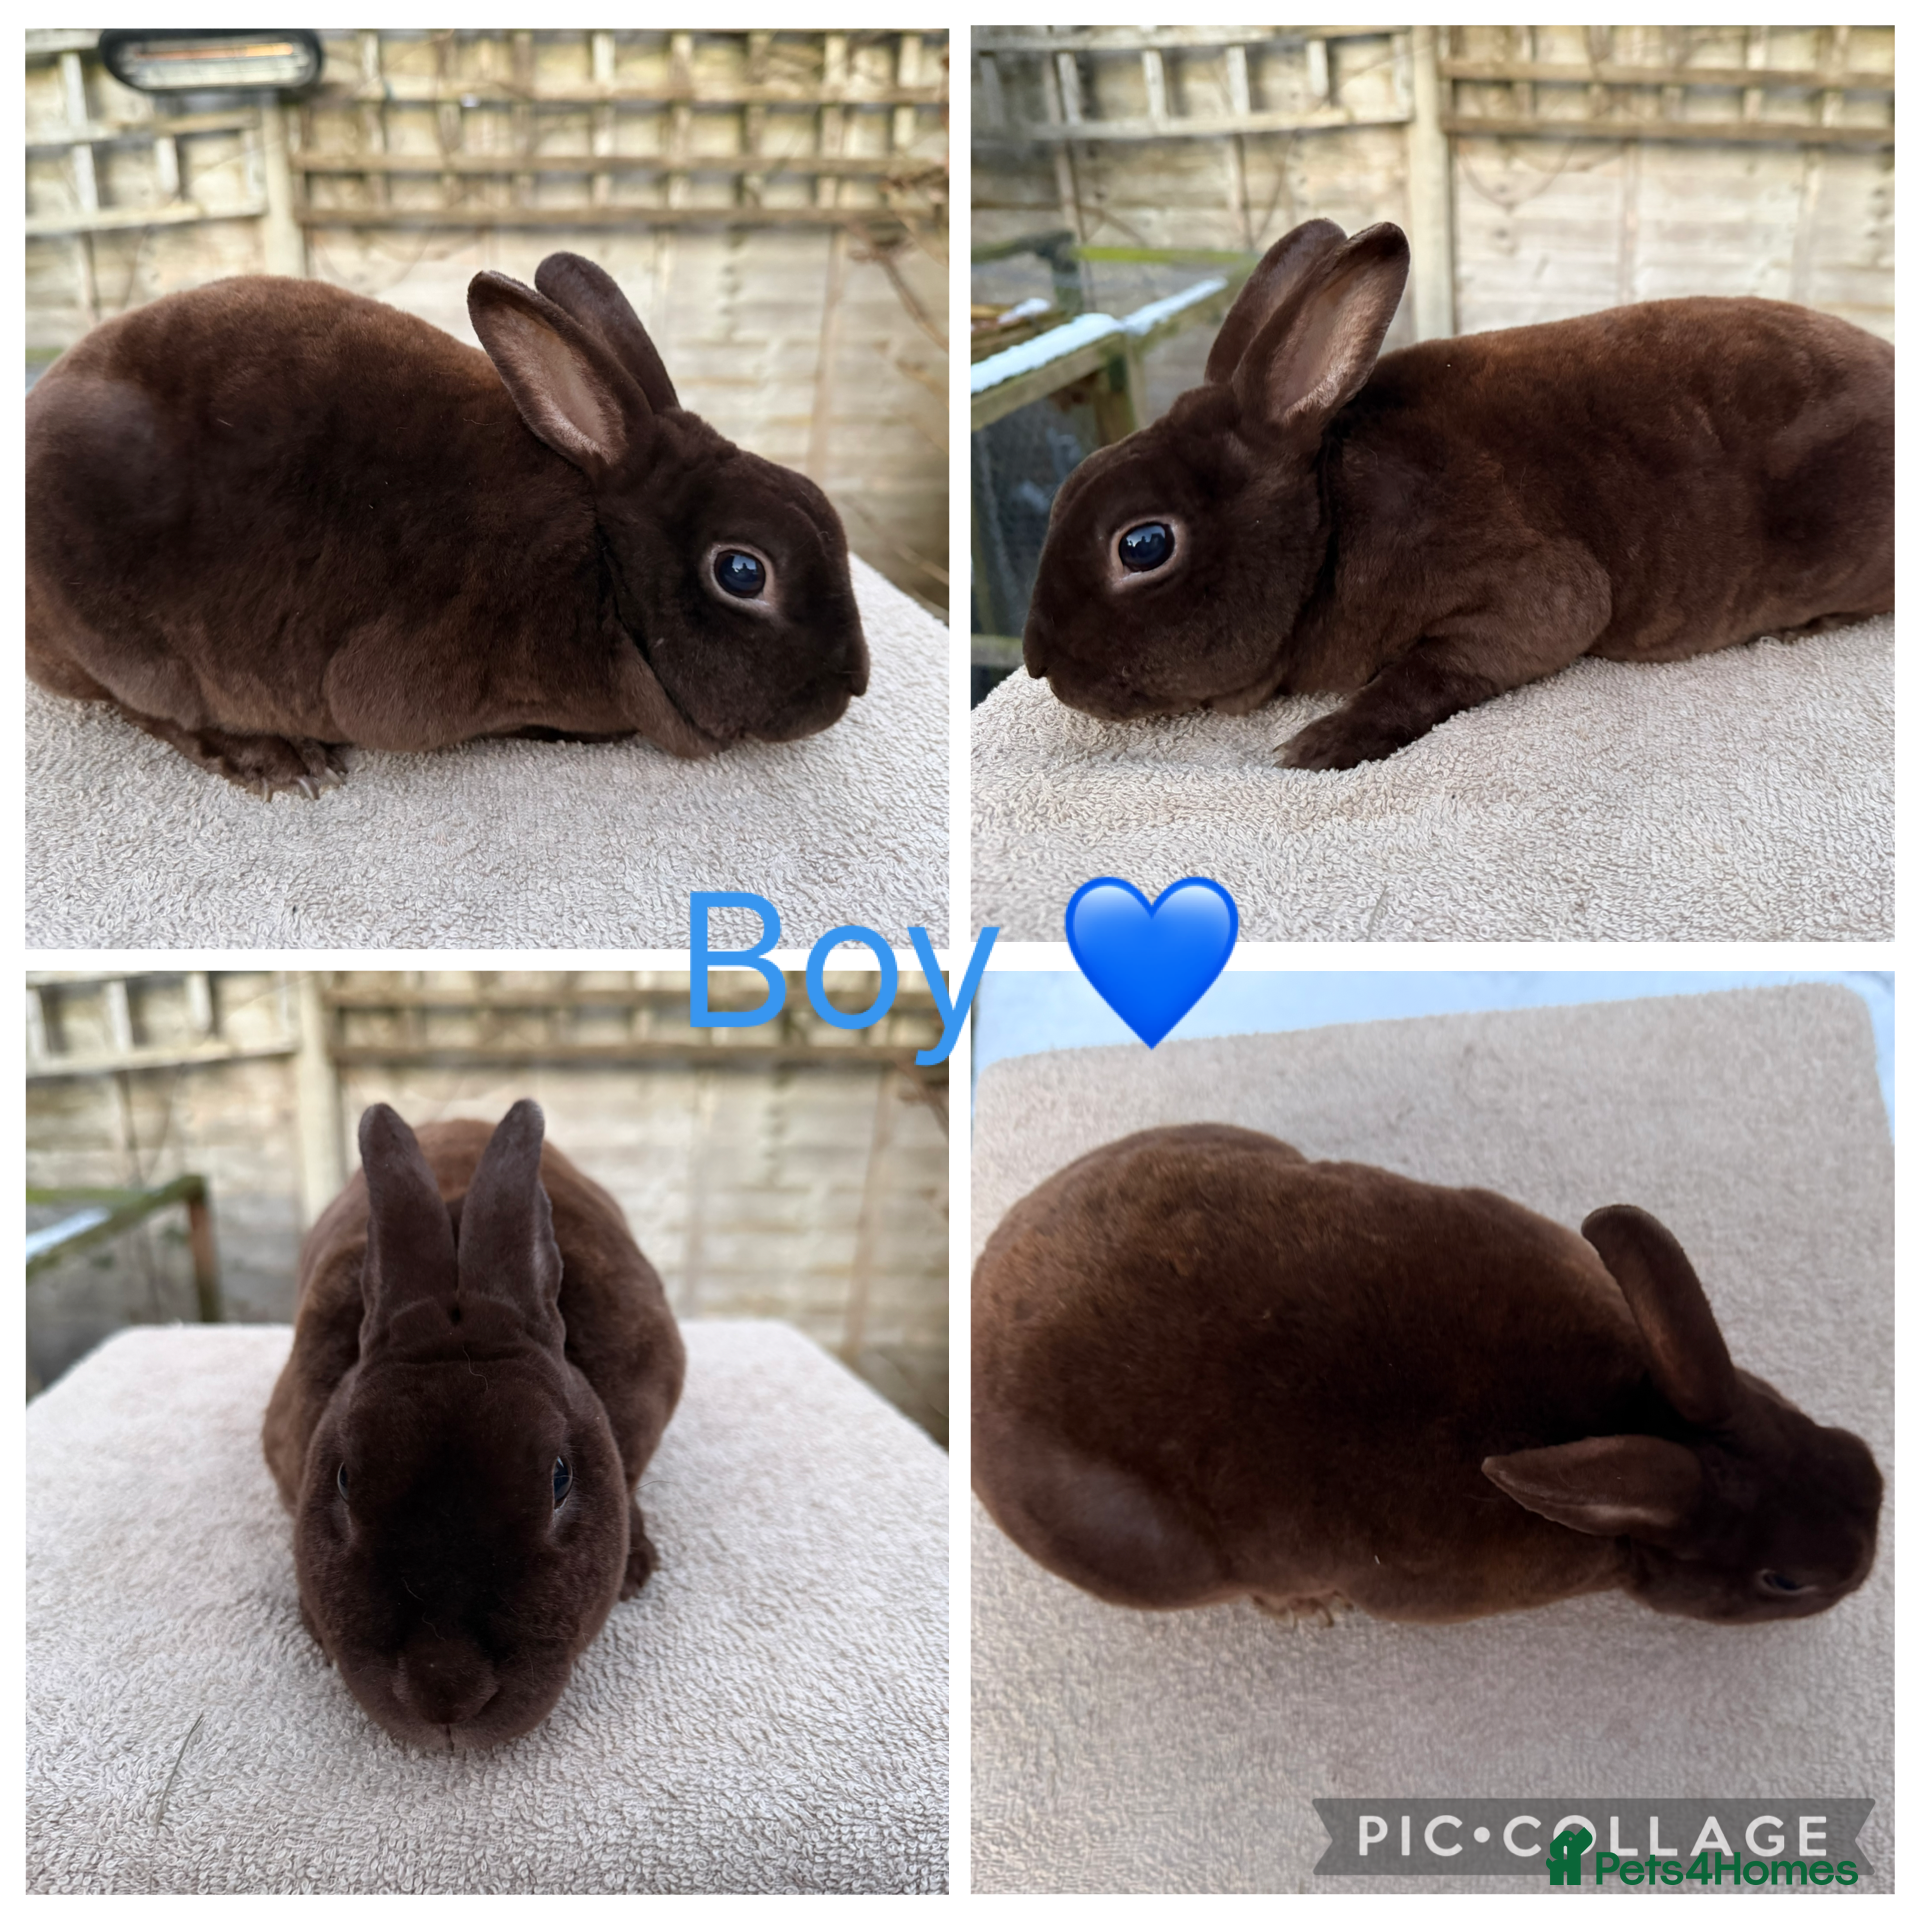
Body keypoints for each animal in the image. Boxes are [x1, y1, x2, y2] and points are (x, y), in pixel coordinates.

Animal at [25, 253, 868, 796]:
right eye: (742, 571)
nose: (855, 681)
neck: (604, 564)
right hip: (129, 643)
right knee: (158, 709)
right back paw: (281, 764)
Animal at [1021, 218, 1893, 769]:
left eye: (1143, 545)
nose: (1036, 663)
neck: (1332, 519)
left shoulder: (1533, 596)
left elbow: (1426, 674)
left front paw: (1319, 745)